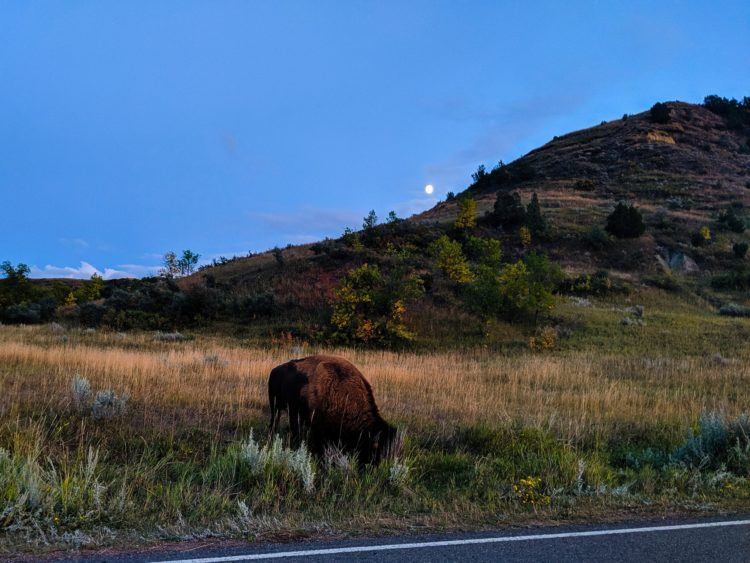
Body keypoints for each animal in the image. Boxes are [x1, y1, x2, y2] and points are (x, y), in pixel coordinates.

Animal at [268, 354, 400, 464]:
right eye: (373, 447)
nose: (374, 465)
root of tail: (274, 370)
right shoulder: (318, 428)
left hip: (291, 411)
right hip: (274, 407)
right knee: (274, 421)